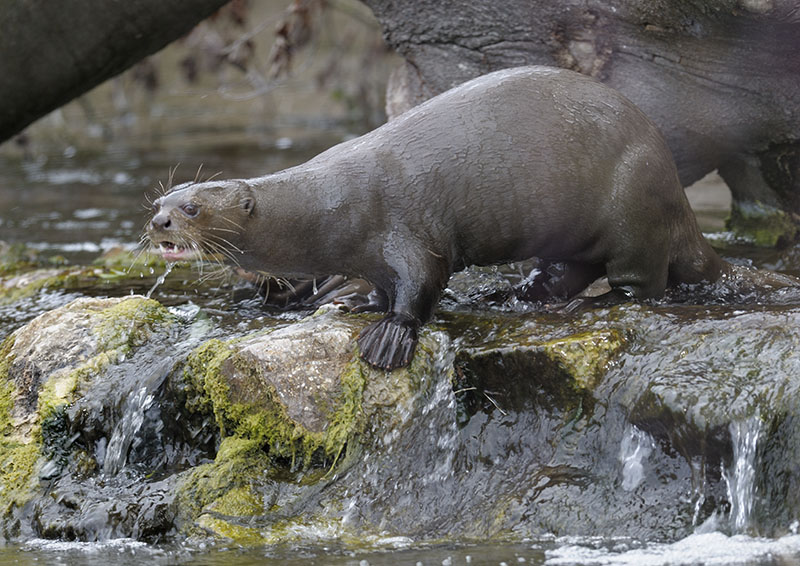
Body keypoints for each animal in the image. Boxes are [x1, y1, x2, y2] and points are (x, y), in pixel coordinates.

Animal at [147, 66, 730, 370]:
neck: (330, 204)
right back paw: (516, 293)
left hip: (634, 204)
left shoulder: (406, 229)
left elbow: (421, 282)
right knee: (568, 270)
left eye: (192, 208)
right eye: (161, 200)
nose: (158, 224)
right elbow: (381, 285)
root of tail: (674, 188)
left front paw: (388, 335)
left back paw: (597, 300)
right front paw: (357, 302)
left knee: (643, 282)